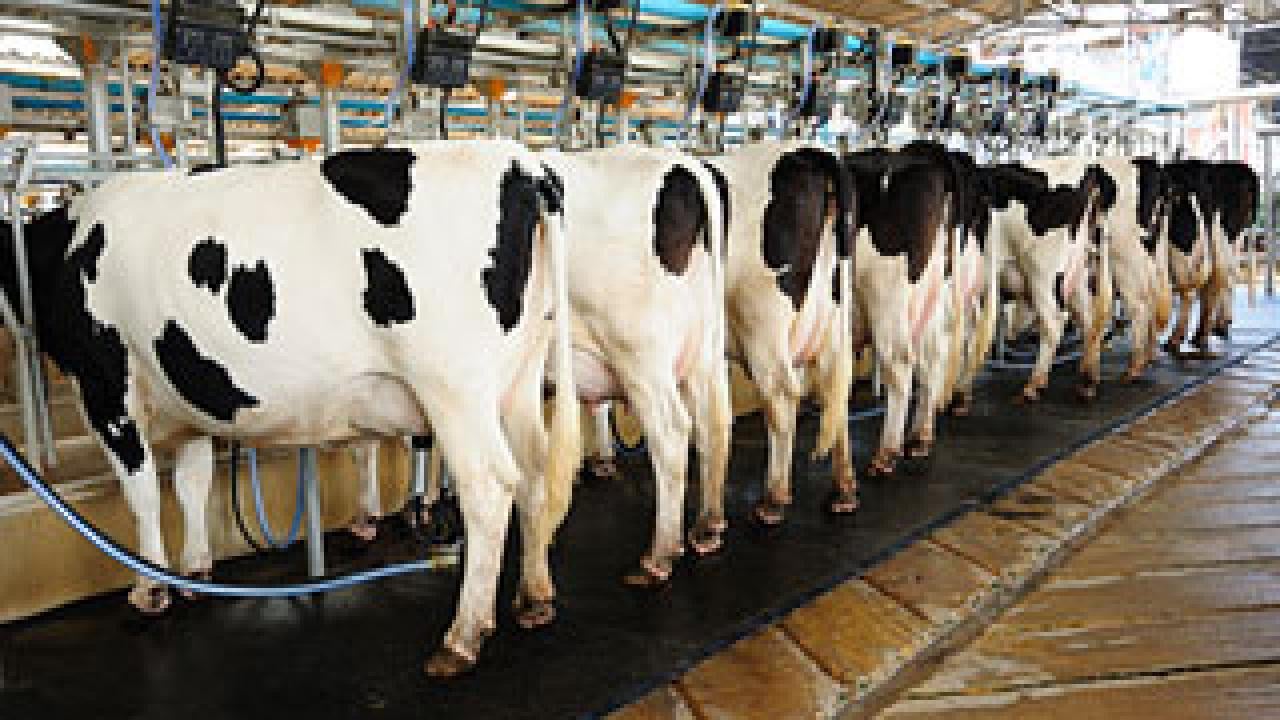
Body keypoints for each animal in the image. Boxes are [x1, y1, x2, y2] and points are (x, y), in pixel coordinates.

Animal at [0, 139, 580, 678]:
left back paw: (462, 637)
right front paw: (195, 571)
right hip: (519, 379)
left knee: (490, 490)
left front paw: (149, 589)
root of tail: (520, 160)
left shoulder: (105, 386)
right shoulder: (189, 398)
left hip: (454, 385)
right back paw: (535, 597)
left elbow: (141, 495)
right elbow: (191, 485)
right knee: (533, 474)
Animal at [537, 146, 730, 588]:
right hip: (703, 350)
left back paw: (658, 556)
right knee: (712, 423)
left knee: (672, 433)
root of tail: (682, 163)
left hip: (640, 355)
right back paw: (707, 526)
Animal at [708, 143, 856, 522]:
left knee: (781, 395)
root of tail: (805, 151)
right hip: (832, 318)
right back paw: (843, 490)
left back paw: (773, 499)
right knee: (836, 388)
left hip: (763, 325)